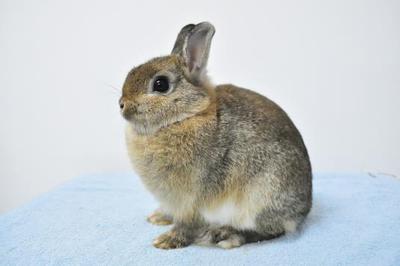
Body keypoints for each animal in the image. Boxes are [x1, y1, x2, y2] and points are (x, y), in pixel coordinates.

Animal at [119, 21, 312, 249]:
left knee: (269, 230)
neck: (185, 116)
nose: (122, 104)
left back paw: (225, 235)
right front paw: (158, 218)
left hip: (261, 197)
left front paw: (166, 241)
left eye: (160, 84)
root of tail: (303, 210)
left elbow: (187, 224)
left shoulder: (191, 200)